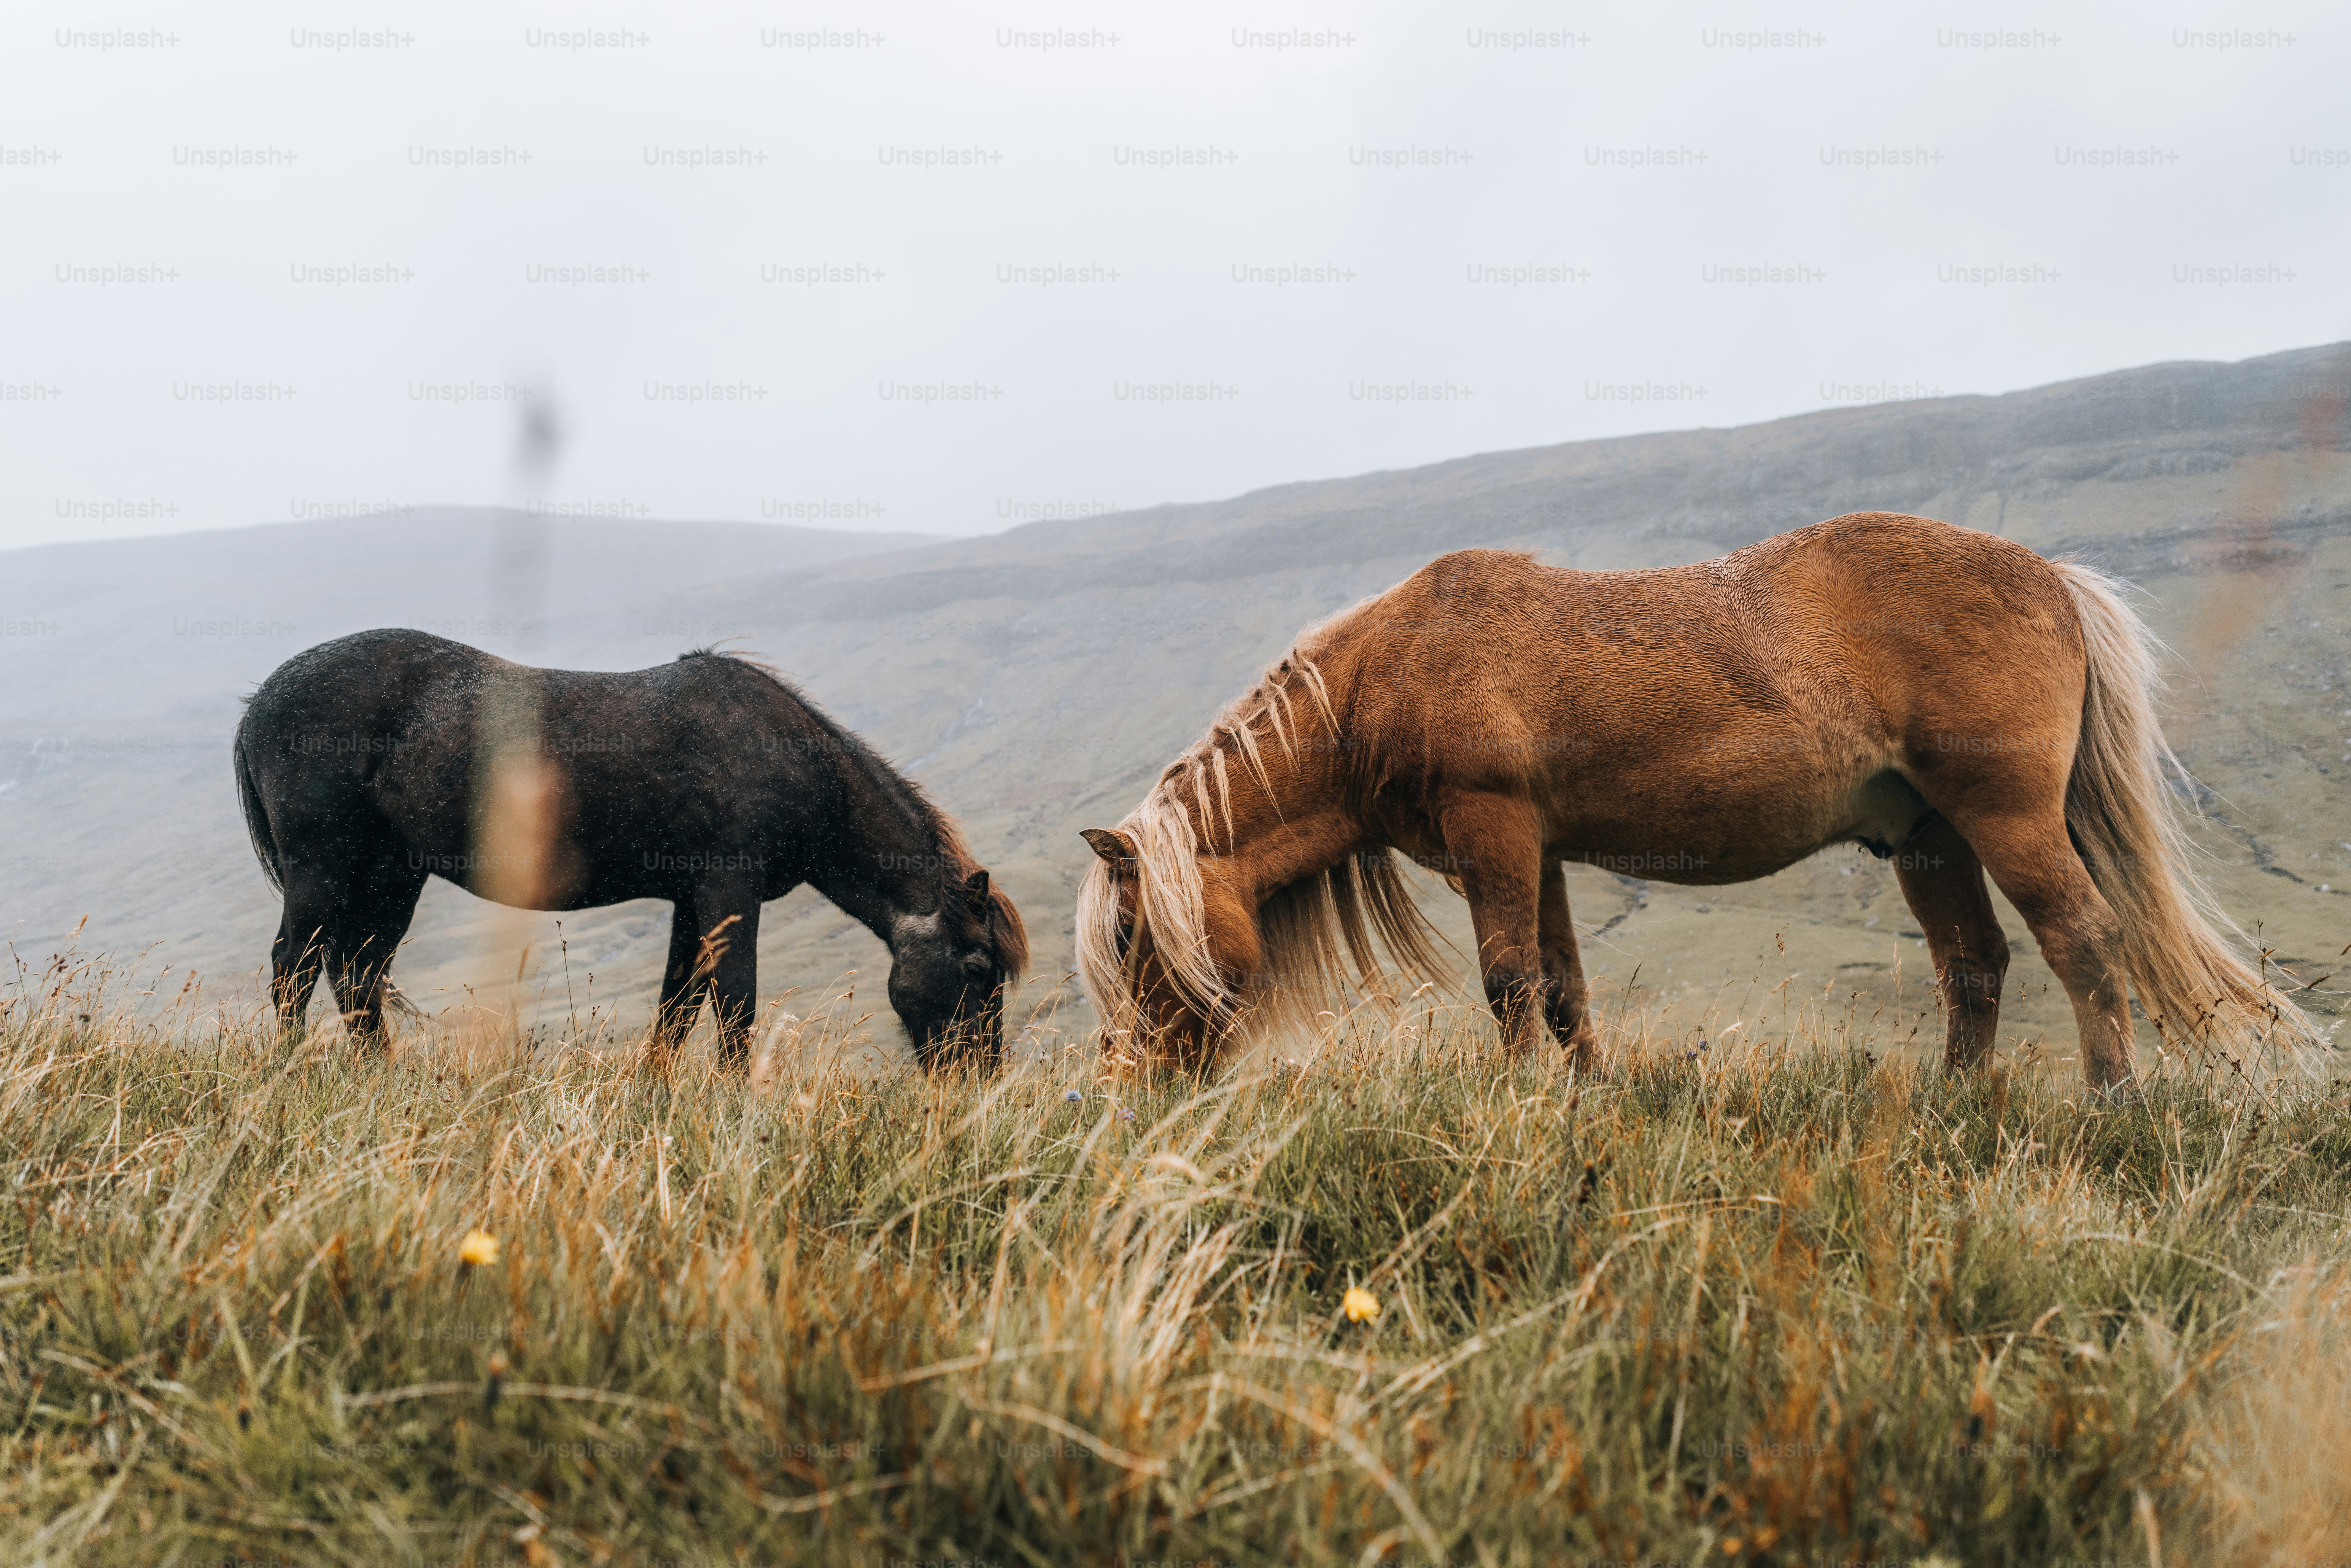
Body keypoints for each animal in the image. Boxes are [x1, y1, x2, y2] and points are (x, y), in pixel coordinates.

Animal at [234, 630, 1027, 1067]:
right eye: (977, 968)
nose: (977, 1079)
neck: (787, 759)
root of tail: (259, 702)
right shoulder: (727, 891)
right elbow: (733, 1002)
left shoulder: (690, 900)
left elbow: (677, 1006)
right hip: (322, 869)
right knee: (294, 968)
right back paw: (289, 1071)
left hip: (391, 876)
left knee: (358, 975)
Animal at [1075, 511, 2315, 1093]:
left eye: (1132, 935)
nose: (1134, 1089)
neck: (1391, 673)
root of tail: (2050, 577)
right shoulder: (1539, 849)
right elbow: (1563, 988)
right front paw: (1580, 1098)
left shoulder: (1493, 830)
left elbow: (1508, 980)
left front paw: (1513, 1101)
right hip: (1925, 838)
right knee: (1975, 963)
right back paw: (1955, 1101)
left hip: (2004, 818)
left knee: (2082, 941)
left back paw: (2113, 1099)